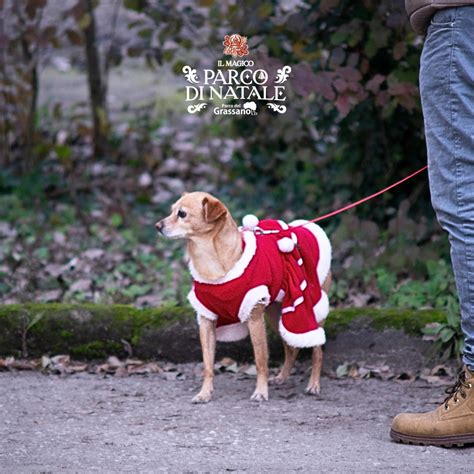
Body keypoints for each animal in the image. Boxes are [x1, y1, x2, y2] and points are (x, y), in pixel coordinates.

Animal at [157, 193, 332, 404]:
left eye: (182, 214)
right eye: (171, 210)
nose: (157, 226)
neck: (211, 262)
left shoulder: (254, 318)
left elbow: (260, 360)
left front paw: (261, 392)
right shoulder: (206, 320)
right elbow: (207, 364)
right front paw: (204, 393)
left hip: (311, 310)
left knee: (317, 350)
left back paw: (314, 385)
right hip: (275, 315)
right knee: (292, 348)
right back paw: (282, 377)